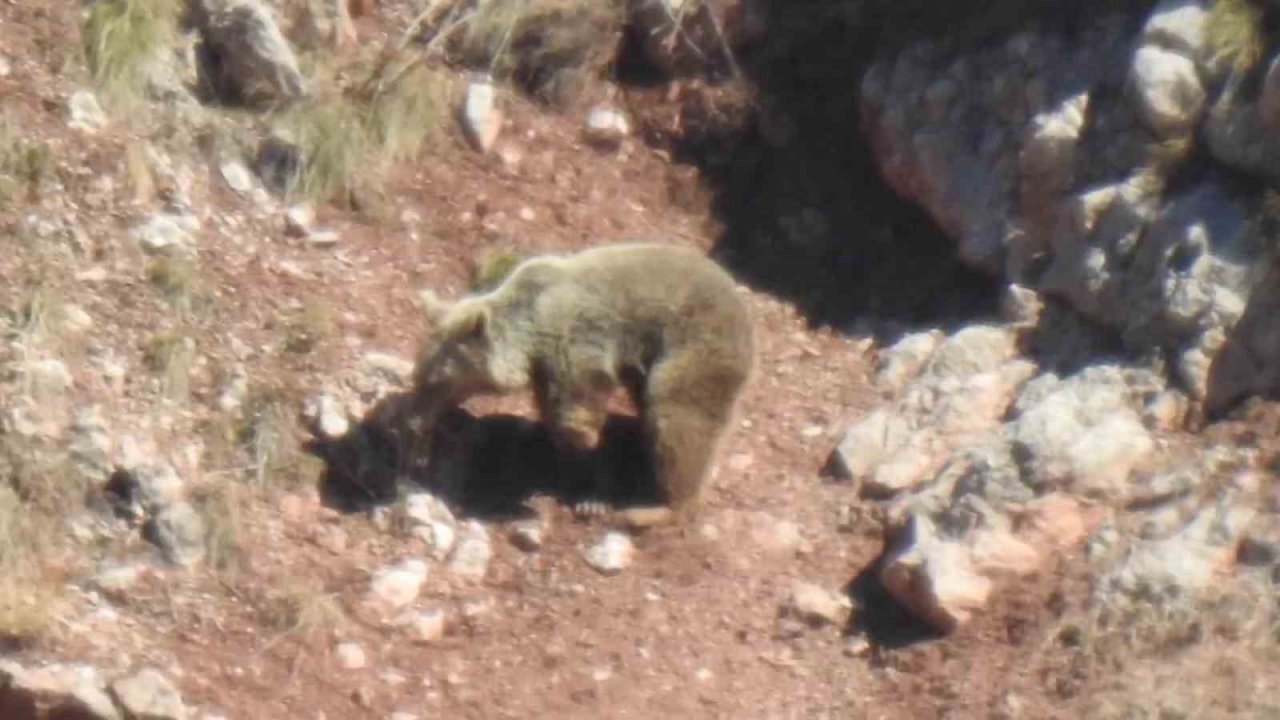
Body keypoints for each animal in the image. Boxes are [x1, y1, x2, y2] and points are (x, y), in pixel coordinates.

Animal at [404, 238, 752, 525]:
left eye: (437, 382)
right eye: (419, 378)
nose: (414, 422)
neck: (530, 330)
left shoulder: (575, 335)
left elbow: (580, 404)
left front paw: (588, 481)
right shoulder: (545, 368)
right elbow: (554, 410)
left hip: (694, 351)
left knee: (679, 423)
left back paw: (653, 508)